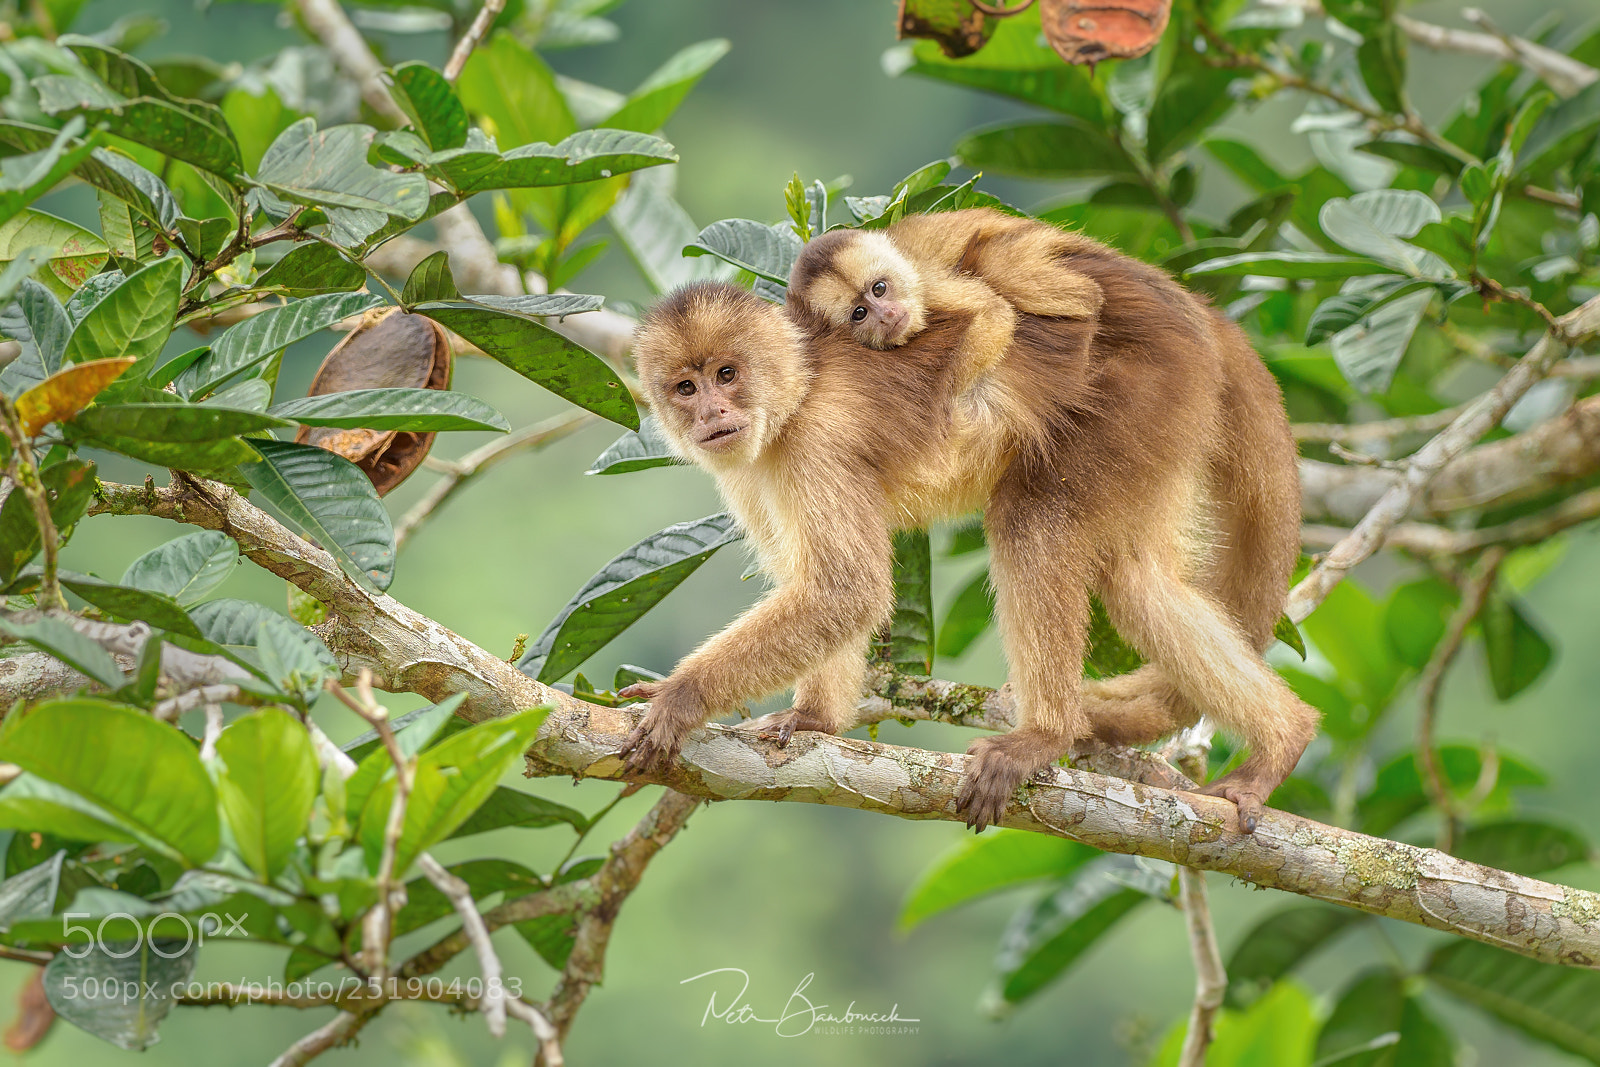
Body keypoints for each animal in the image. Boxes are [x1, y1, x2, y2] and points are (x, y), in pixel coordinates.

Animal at [617, 230, 1318, 835]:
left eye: (727, 374)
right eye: (685, 386)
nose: (711, 412)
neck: (796, 391)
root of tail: (1192, 315)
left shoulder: (815, 443)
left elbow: (846, 590)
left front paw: (679, 699)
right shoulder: (748, 470)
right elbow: (824, 592)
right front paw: (814, 718)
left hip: (1145, 388)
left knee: (1032, 523)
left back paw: (1048, 737)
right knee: (1136, 577)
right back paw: (1284, 733)